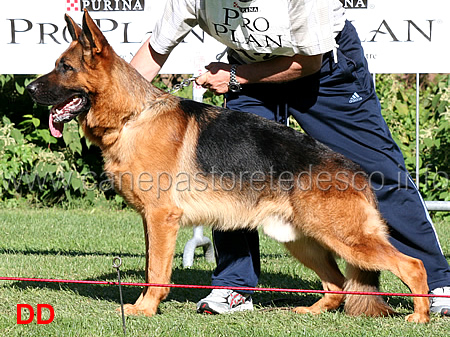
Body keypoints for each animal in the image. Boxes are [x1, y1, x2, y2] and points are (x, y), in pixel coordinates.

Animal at [26, 9, 430, 320]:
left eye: (65, 67)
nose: (29, 89)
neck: (132, 117)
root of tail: (355, 171)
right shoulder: (150, 221)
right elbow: (151, 264)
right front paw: (146, 305)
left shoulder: (161, 218)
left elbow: (156, 270)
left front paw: (144, 309)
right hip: (304, 241)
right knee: (338, 284)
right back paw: (313, 312)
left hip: (345, 238)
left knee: (411, 265)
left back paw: (422, 314)